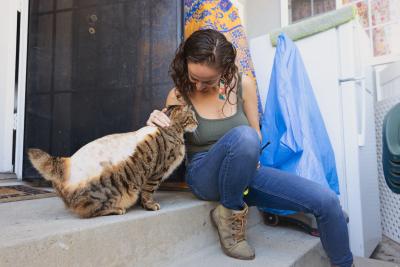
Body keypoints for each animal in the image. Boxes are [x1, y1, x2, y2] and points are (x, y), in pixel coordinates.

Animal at [27, 104, 197, 218]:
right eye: (192, 117)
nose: (197, 123)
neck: (172, 129)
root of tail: (65, 163)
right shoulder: (156, 172)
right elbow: (149, 191)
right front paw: (149, 205)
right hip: (109, 189)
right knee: (88, 211)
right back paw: (116, 209)